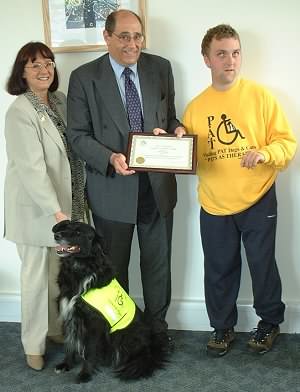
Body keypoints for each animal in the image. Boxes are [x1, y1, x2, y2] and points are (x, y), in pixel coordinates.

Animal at [52, 220, 168, 382]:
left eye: (78, 232)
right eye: (66, 227)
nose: (56, 235)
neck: (80, 269)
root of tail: (150, 347)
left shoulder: (93, 324)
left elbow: (89, 351)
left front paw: (85, 374)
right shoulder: (68, 316)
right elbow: (69, 344)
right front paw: (66, 364)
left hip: (124, 336)